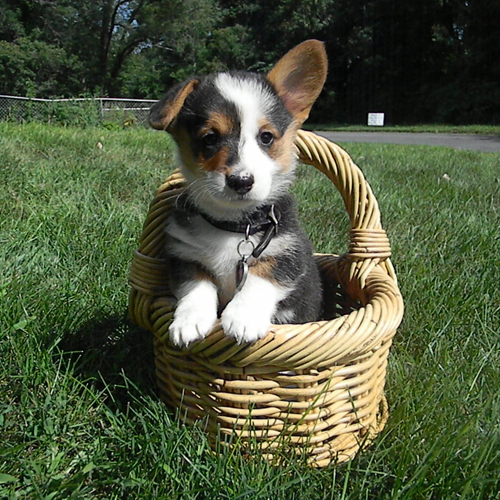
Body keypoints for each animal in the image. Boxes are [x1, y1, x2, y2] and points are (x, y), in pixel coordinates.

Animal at [148, 40, 328, 348]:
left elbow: (261, 276)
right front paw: (189, 322)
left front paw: (242, 319)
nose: (241, 181)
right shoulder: (184, 256)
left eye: (266, 137)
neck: (233, 226)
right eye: (209, 138)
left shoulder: (287, 253)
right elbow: (196, 286)